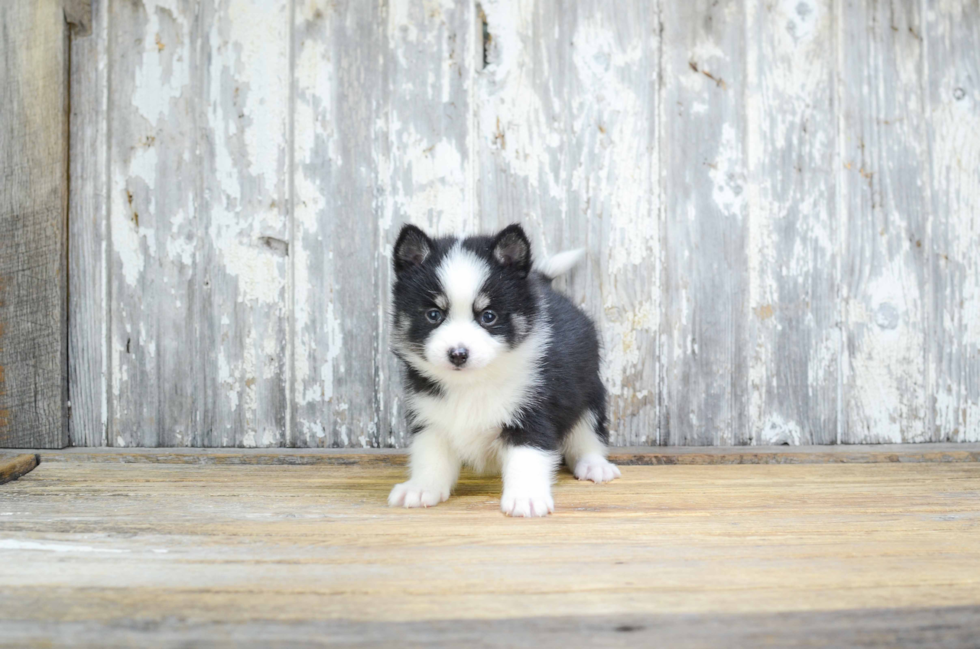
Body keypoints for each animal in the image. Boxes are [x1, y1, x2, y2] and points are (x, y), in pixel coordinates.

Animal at [384, 223, 620, 516]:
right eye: (433, 315)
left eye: (488, 316)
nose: (458, 354)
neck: (473, 384)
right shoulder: (429, 414)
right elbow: (430, 454)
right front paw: (421, 487)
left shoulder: (533, 412)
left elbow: (527, 457)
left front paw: (525, 497)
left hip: (588, 392)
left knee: (587, 431)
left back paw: (594, 464)